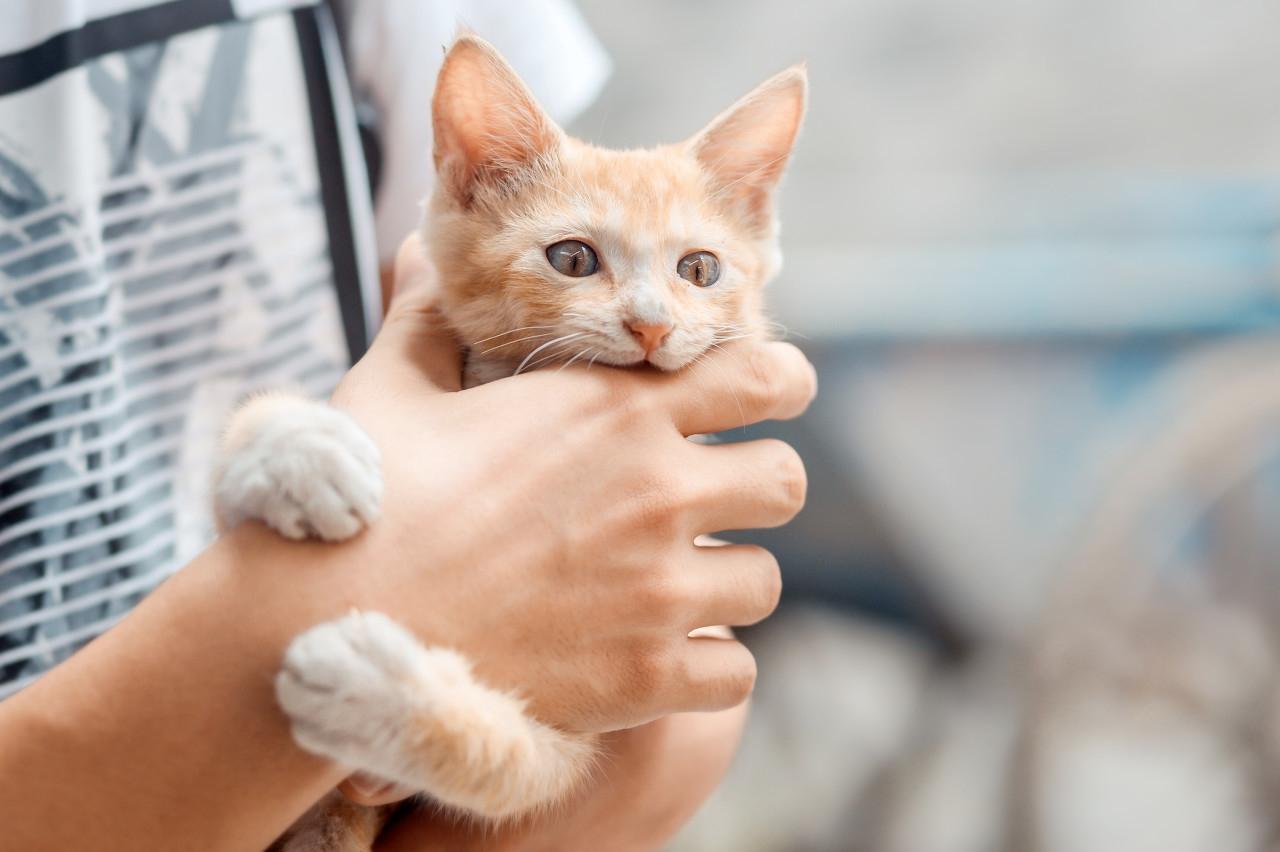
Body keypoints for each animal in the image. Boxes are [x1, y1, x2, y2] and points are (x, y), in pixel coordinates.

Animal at [216, 33, 803, 849]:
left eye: (699, 269)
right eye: (573, 258)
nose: (652, 324)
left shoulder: (579, 738)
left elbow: (502, 766)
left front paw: (373, 689)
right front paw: (301, 453)